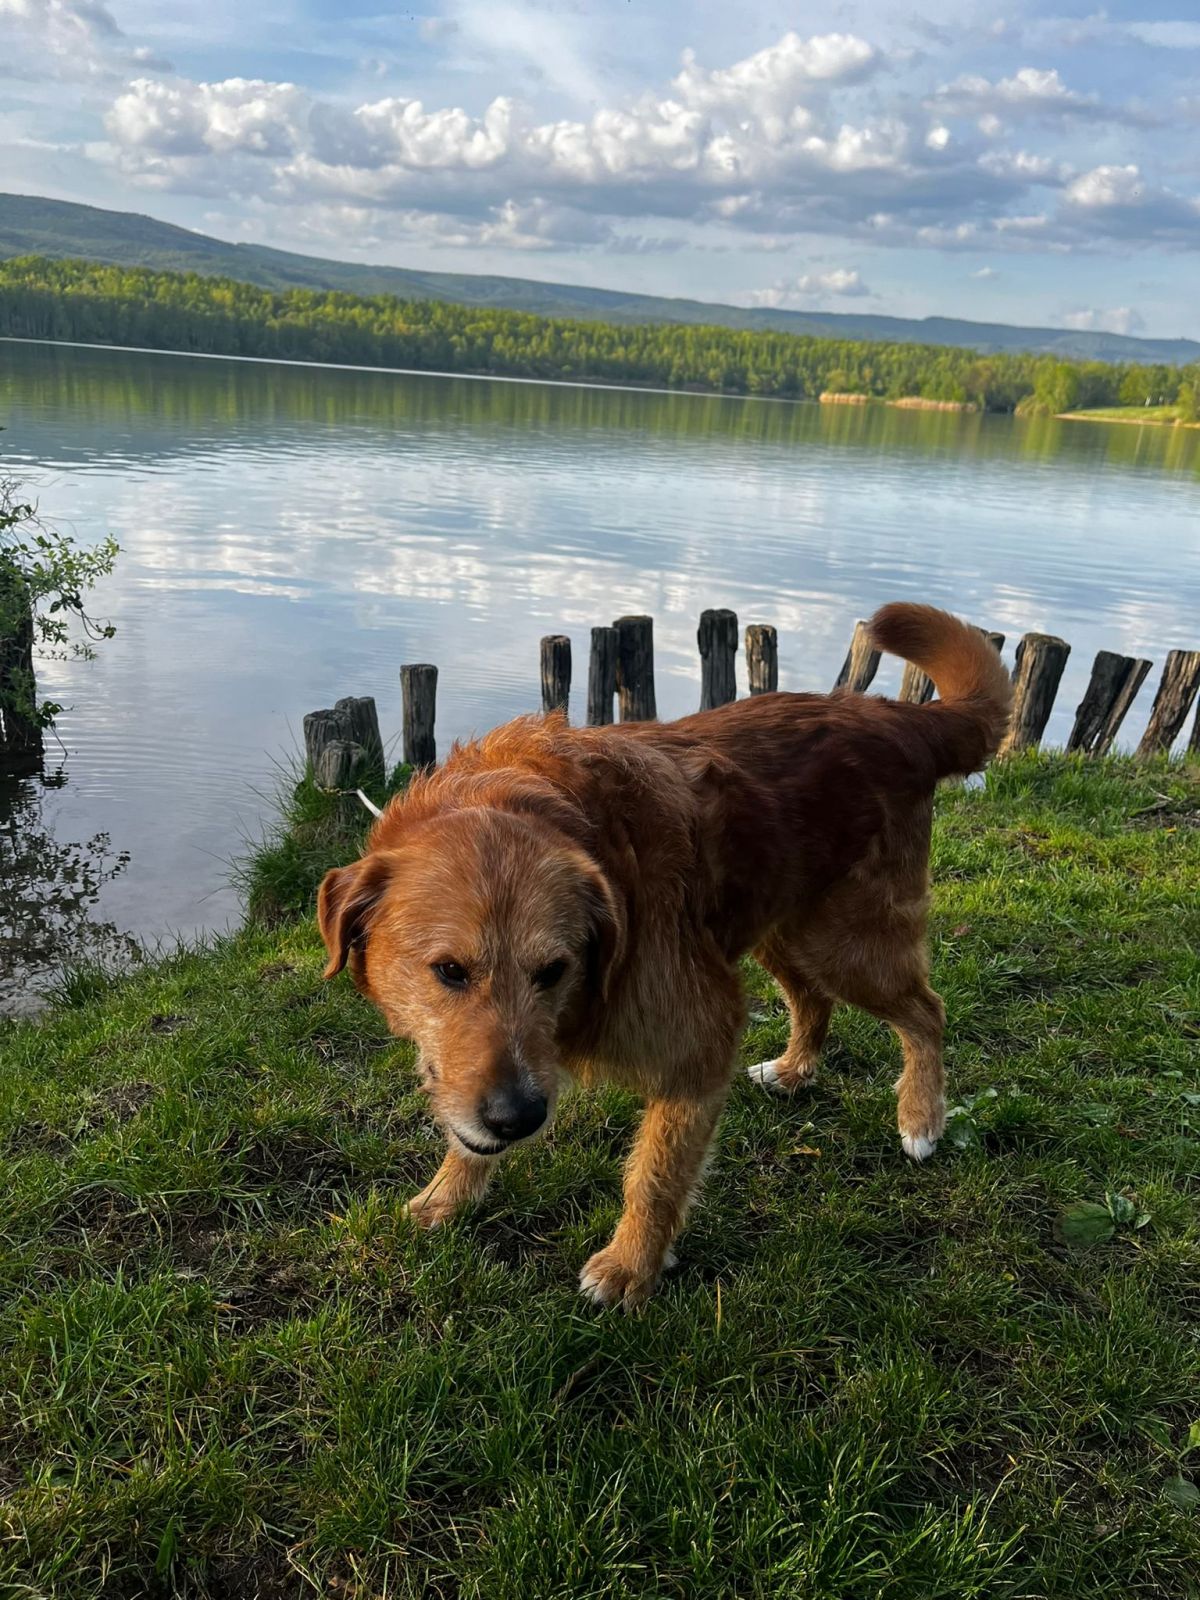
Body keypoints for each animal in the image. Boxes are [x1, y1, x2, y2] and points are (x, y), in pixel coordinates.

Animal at [318, 602, 1012, 1310]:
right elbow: (469, 1128)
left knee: (926, 1012)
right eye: (449, 972)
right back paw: (795, 1069)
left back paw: (921, 1117)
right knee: (813, 998)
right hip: (777, 927)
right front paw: (448, 1196)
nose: (520, 1120)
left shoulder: (699, 1040)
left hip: (846, 945)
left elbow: (656, 1173)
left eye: (555, 972)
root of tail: (900, 718)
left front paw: (631, 1267)